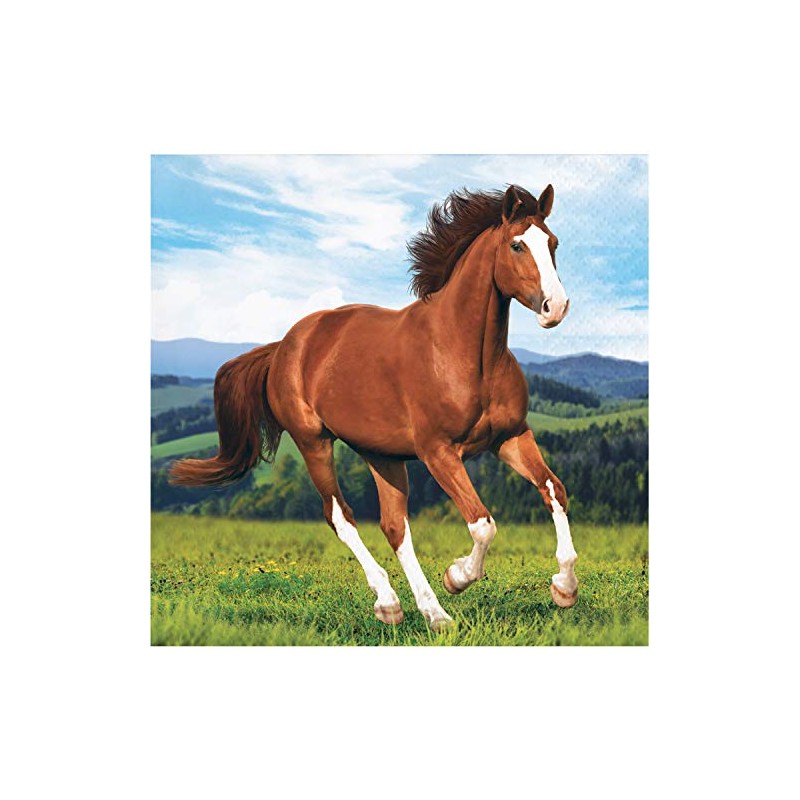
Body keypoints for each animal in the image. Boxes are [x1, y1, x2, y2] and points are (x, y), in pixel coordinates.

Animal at [170, 183, 578, 632]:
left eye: (553, 243)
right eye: (517, 245)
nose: (555, 307)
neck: (462, 351)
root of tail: (284, 347)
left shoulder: (510, 436)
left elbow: (554, 490)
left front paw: (564, 588)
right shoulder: (438, 452)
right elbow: (482, 524)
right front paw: (456, 576)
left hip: (382, 454)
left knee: (394, 526)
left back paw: (432, 614)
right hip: (313, 442)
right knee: (340, 516)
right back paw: (392, 603)